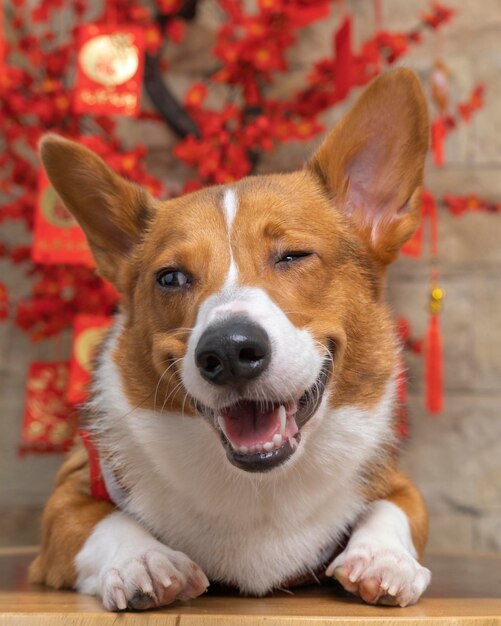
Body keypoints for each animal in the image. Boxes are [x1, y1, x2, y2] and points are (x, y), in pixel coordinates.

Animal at [30, 69, 430, 608]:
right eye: (171, 278)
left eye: (293, 255)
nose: (230, 351)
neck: (259, 486)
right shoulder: (68, 494)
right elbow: (101, 521)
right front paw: (144, 561)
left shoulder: (397, 484)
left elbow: (393, 510)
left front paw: (383, 560)